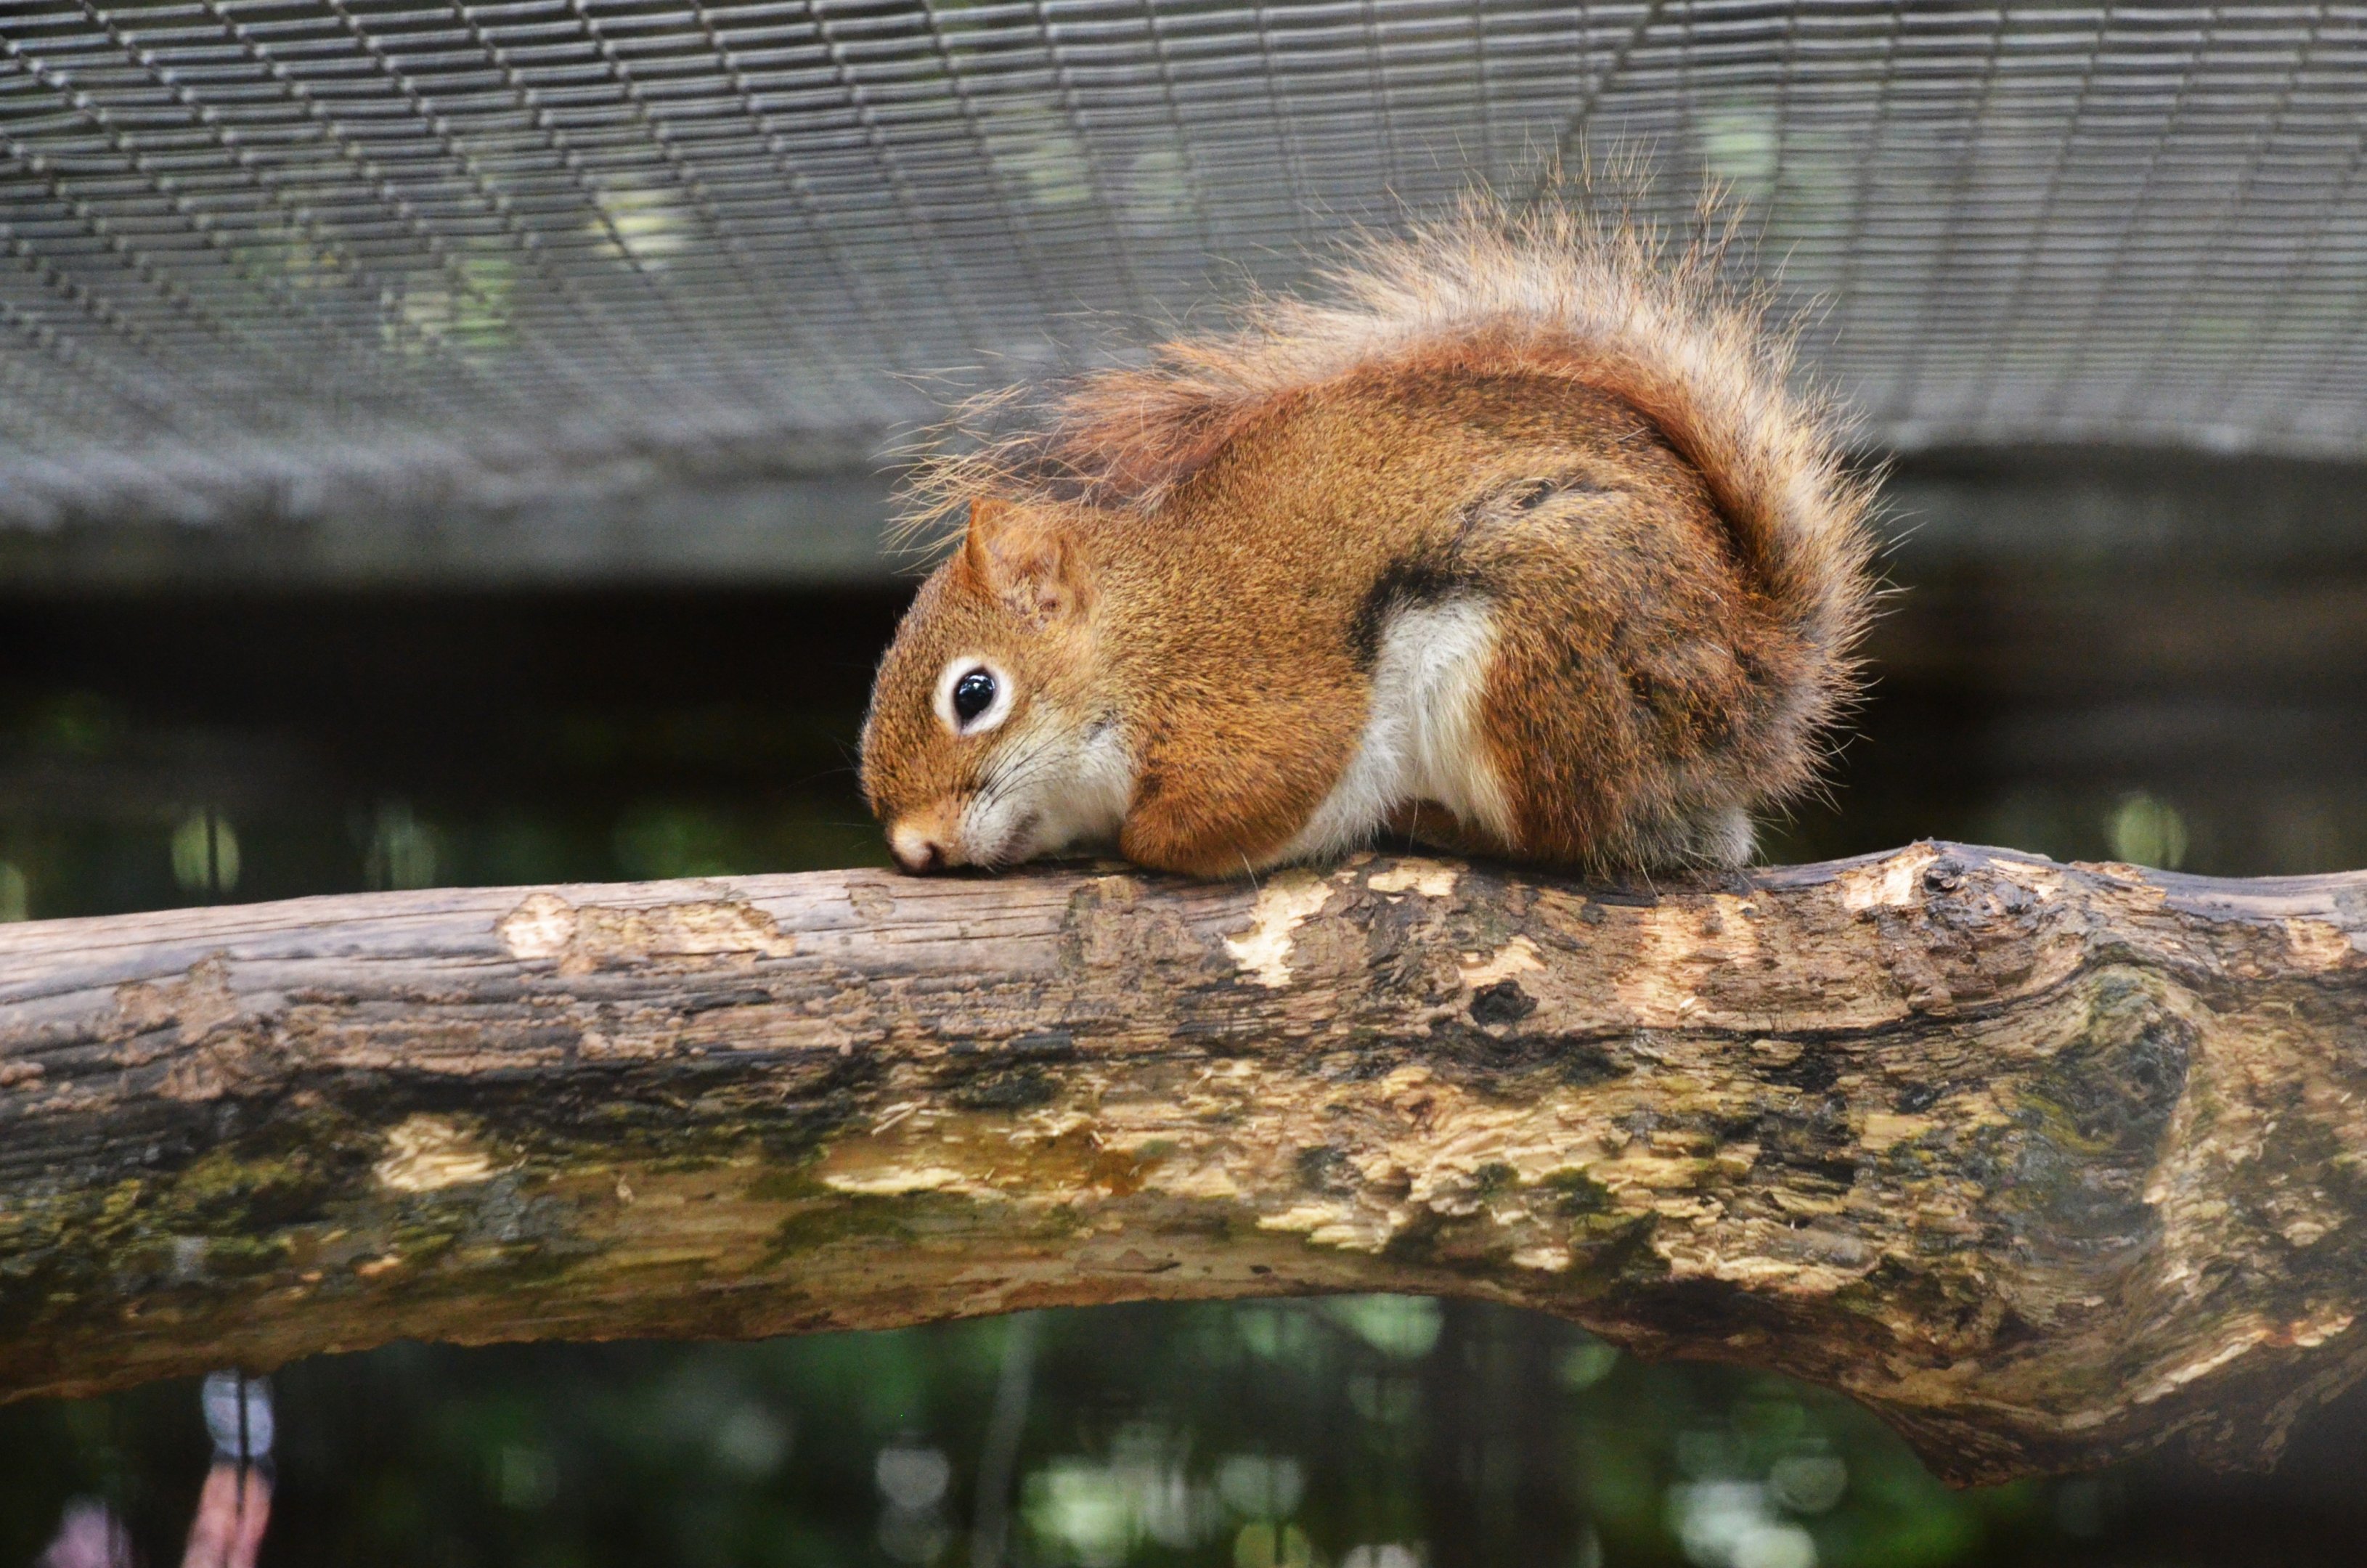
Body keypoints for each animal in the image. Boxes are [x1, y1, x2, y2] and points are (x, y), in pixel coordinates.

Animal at [859, 199, 1877, 879]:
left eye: (974, 693)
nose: (914, 848)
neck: (1139, 638)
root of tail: (1762, 689)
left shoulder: (1259, 709)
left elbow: (1220, 815)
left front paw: (1133, 842)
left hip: (1535, 668)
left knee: (1572, 837)